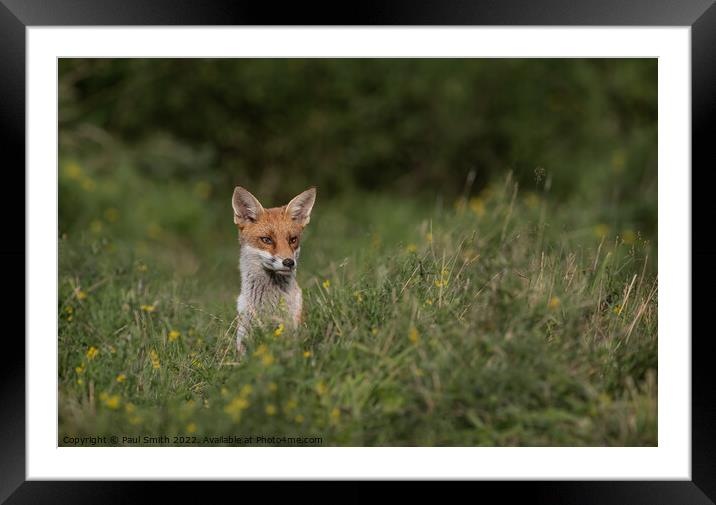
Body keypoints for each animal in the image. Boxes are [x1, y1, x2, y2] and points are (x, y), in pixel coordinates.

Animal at [232, 185, 316, 354]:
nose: (289, 262)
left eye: (293, 240)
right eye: (267, 240)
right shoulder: (242, 341)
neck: (268, 309)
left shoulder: (293, 333)